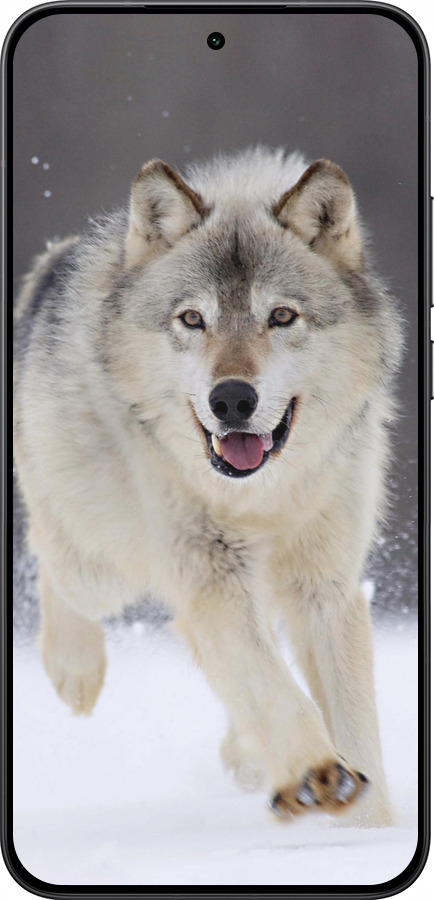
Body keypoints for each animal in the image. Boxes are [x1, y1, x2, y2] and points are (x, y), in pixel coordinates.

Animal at [14, 147, 402, 826]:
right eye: (193, 319)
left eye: (281, 316)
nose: (232, 400)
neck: (262, 497)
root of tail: (54, 261)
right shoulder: (210, 573)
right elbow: (272, 686)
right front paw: (316, 773)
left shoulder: (325, 586)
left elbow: (352, 722)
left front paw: (368, 827)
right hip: (103, 565)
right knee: (52, 557)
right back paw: (74, 671)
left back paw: (247, 756)